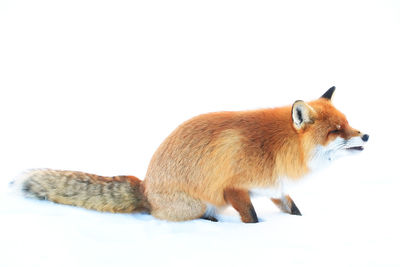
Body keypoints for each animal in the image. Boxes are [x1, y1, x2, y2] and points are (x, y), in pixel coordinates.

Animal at [14, 88, 368, 224]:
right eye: (336, 130)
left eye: (348, 124)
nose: (365, 136)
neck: (278, 148)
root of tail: (145, 187)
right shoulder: (233, 189)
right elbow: (252, 218)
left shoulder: (275, 189)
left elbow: (294, 211)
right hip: (198, 204)